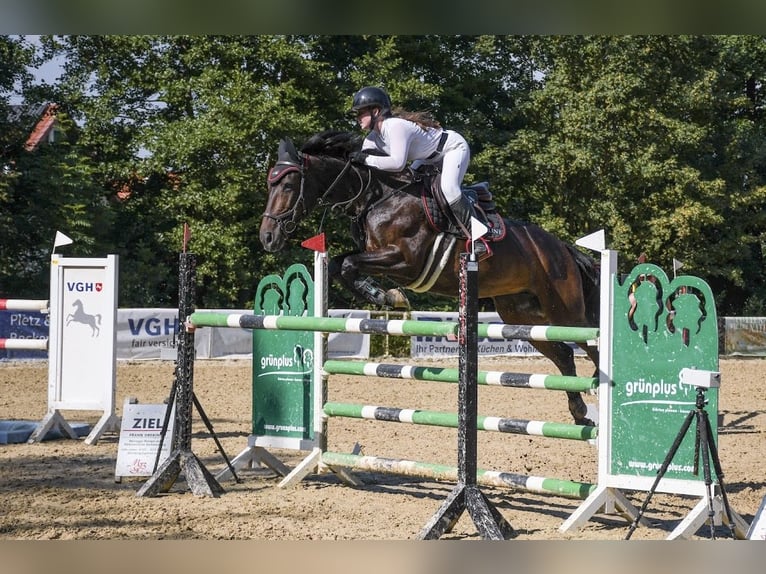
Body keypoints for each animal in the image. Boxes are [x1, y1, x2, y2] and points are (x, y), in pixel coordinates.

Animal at [260, 132, 604, 428]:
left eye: (288, 185)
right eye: (270, 184)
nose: (268, 237)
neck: (377, 198)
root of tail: (563, 248)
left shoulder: (406, 260)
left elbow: (348, 264)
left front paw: (389, 296)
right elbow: (338, 265)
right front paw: (383, 296)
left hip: (565, 311)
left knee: (591, 344)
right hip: (521, 315)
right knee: (564, 355)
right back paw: (580, 413)